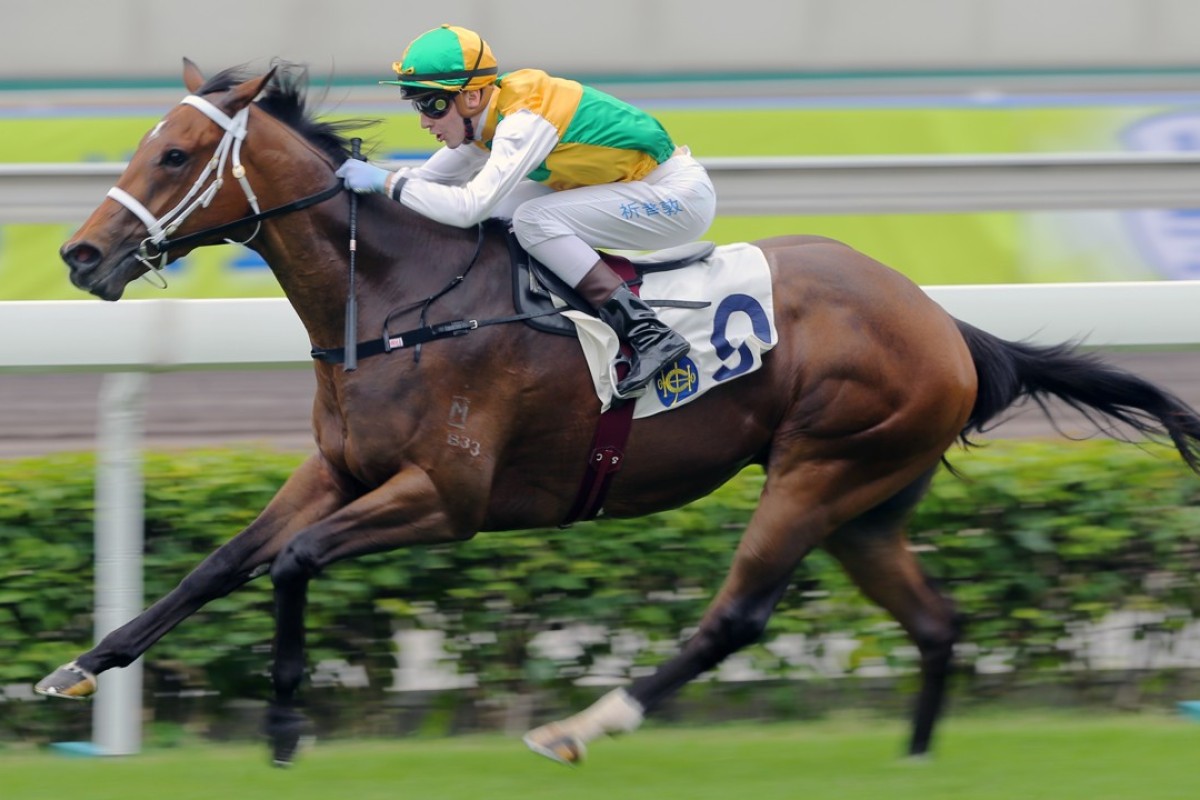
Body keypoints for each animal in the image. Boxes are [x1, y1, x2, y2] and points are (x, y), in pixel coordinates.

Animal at [42, 59, 1200, 767]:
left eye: (176, 155)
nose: (81, 254)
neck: (401, 295)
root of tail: (944, 322)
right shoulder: (340, 469)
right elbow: (218, 564)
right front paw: (79, 667)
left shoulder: (447, 498)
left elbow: (290, 563)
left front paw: (285, 721)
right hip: (870, 502)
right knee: (935, 621)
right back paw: (916, 762)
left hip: (820, 469)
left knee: (738, 615)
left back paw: (583, 723)